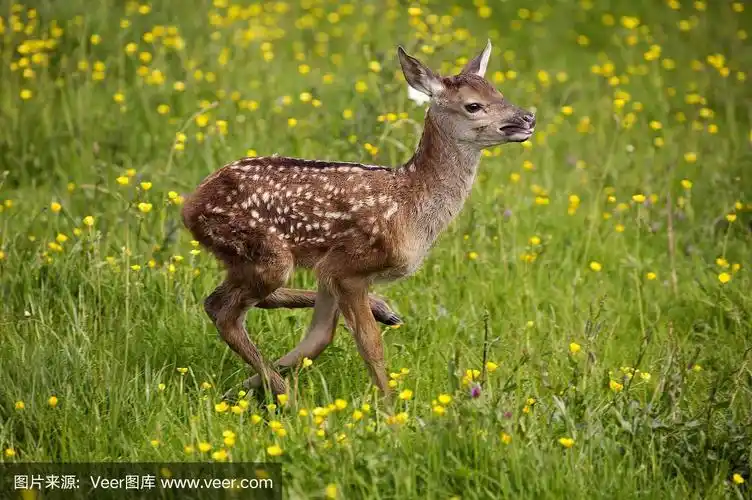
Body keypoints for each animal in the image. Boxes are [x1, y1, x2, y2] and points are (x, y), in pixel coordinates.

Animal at [182, 41, 536, 400]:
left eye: (498, 91)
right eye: (473, 105)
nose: (528, 117)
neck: (410, 204)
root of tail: (190, 206)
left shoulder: (331, 267)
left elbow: (319, 336)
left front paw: (245, 387)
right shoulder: (349, 267)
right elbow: (369, 345)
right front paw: (389, 408)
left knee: (246, 301)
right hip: (264, 252)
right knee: (222, 310)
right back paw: (287, 397)